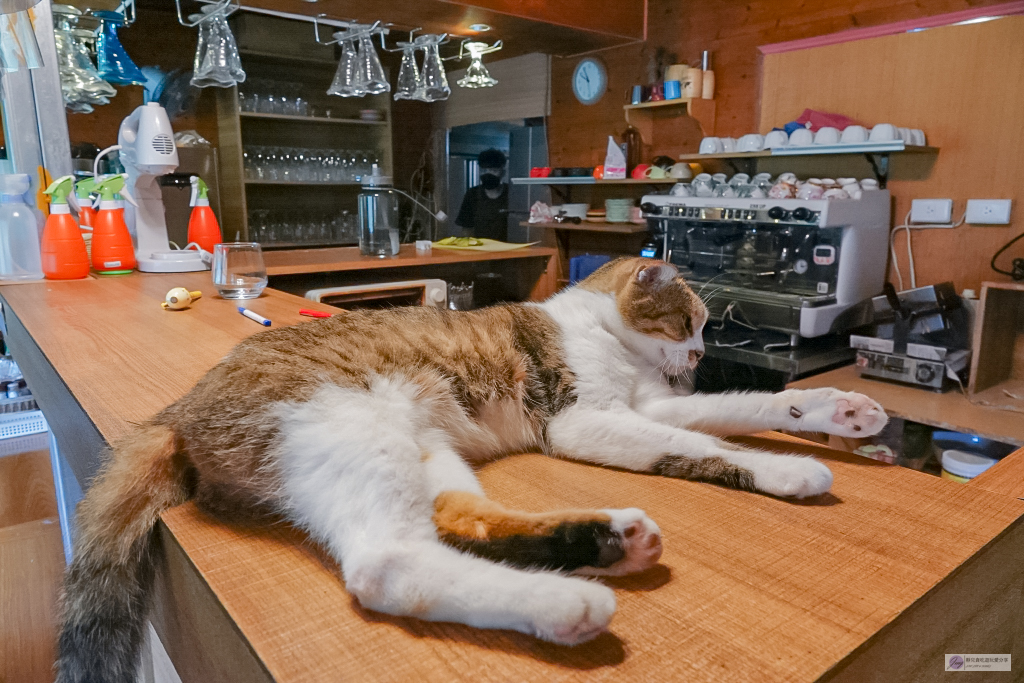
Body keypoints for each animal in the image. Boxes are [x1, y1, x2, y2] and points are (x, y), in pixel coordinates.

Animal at [58, 258, 888, 683]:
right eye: (689, 321)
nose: (698, 354)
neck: (604, 336)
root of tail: (178, 406)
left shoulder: (655, 403)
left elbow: (740, 410)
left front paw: (837, 413)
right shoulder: (585, 418)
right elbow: (710, 446)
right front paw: (788, 466)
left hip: (430, 448)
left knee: (455, 518)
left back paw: (605, 542)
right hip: (353, 427)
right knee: (390, 564)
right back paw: (566, 602)